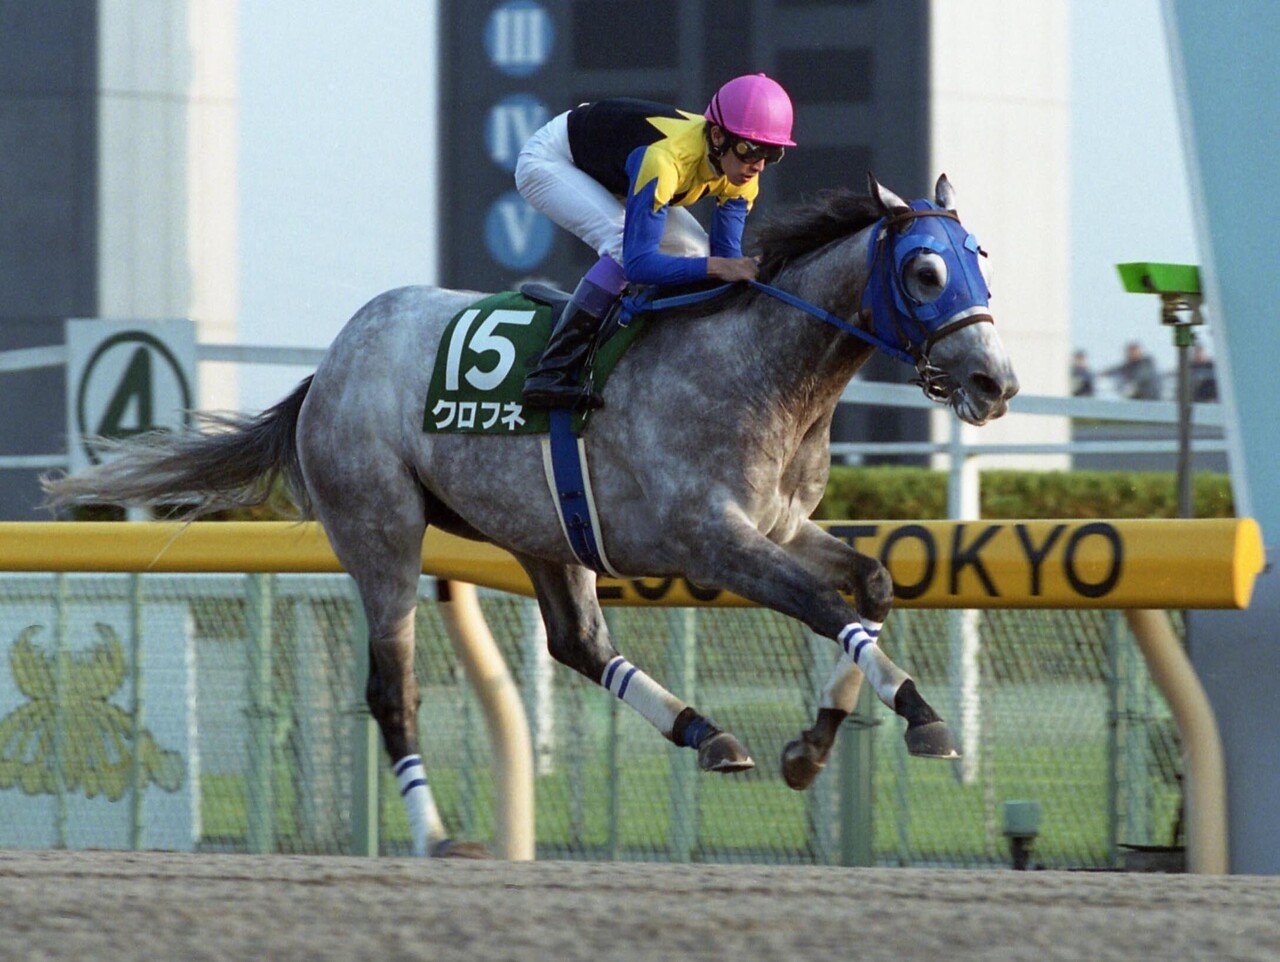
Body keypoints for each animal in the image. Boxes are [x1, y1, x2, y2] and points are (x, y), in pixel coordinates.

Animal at [44, 173, 1019, 857]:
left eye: (980, 258)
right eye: (925, 269)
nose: (995, 381)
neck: (761, 369)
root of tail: (330, 364)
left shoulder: (777, 528)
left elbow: (869, 587)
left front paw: (814, 743)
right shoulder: (713, 541)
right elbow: (827, 608)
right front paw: (919, 718)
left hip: (544, 530)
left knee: (579, 644)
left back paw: (706, 734)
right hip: (381, 531)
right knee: (392, 688)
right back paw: (438, 836)